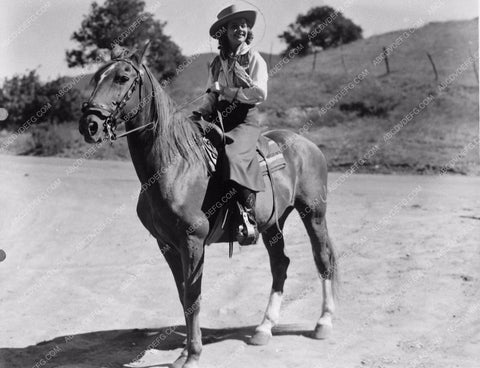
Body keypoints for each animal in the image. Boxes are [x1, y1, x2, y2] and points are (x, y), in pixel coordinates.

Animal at [79, 44, 338, 368]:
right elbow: (183, 296)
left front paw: (193, 355)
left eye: (123, 77)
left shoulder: (193, 241)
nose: (89, 124)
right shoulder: (167, 245)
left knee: (323, 259)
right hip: (272, 224)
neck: (174, 164)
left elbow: (193, 296)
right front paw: (184, 352)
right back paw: (264, 328)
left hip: (313, 213)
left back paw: (323, 323)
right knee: (280, 265)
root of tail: (306, 144)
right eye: (97, 76)